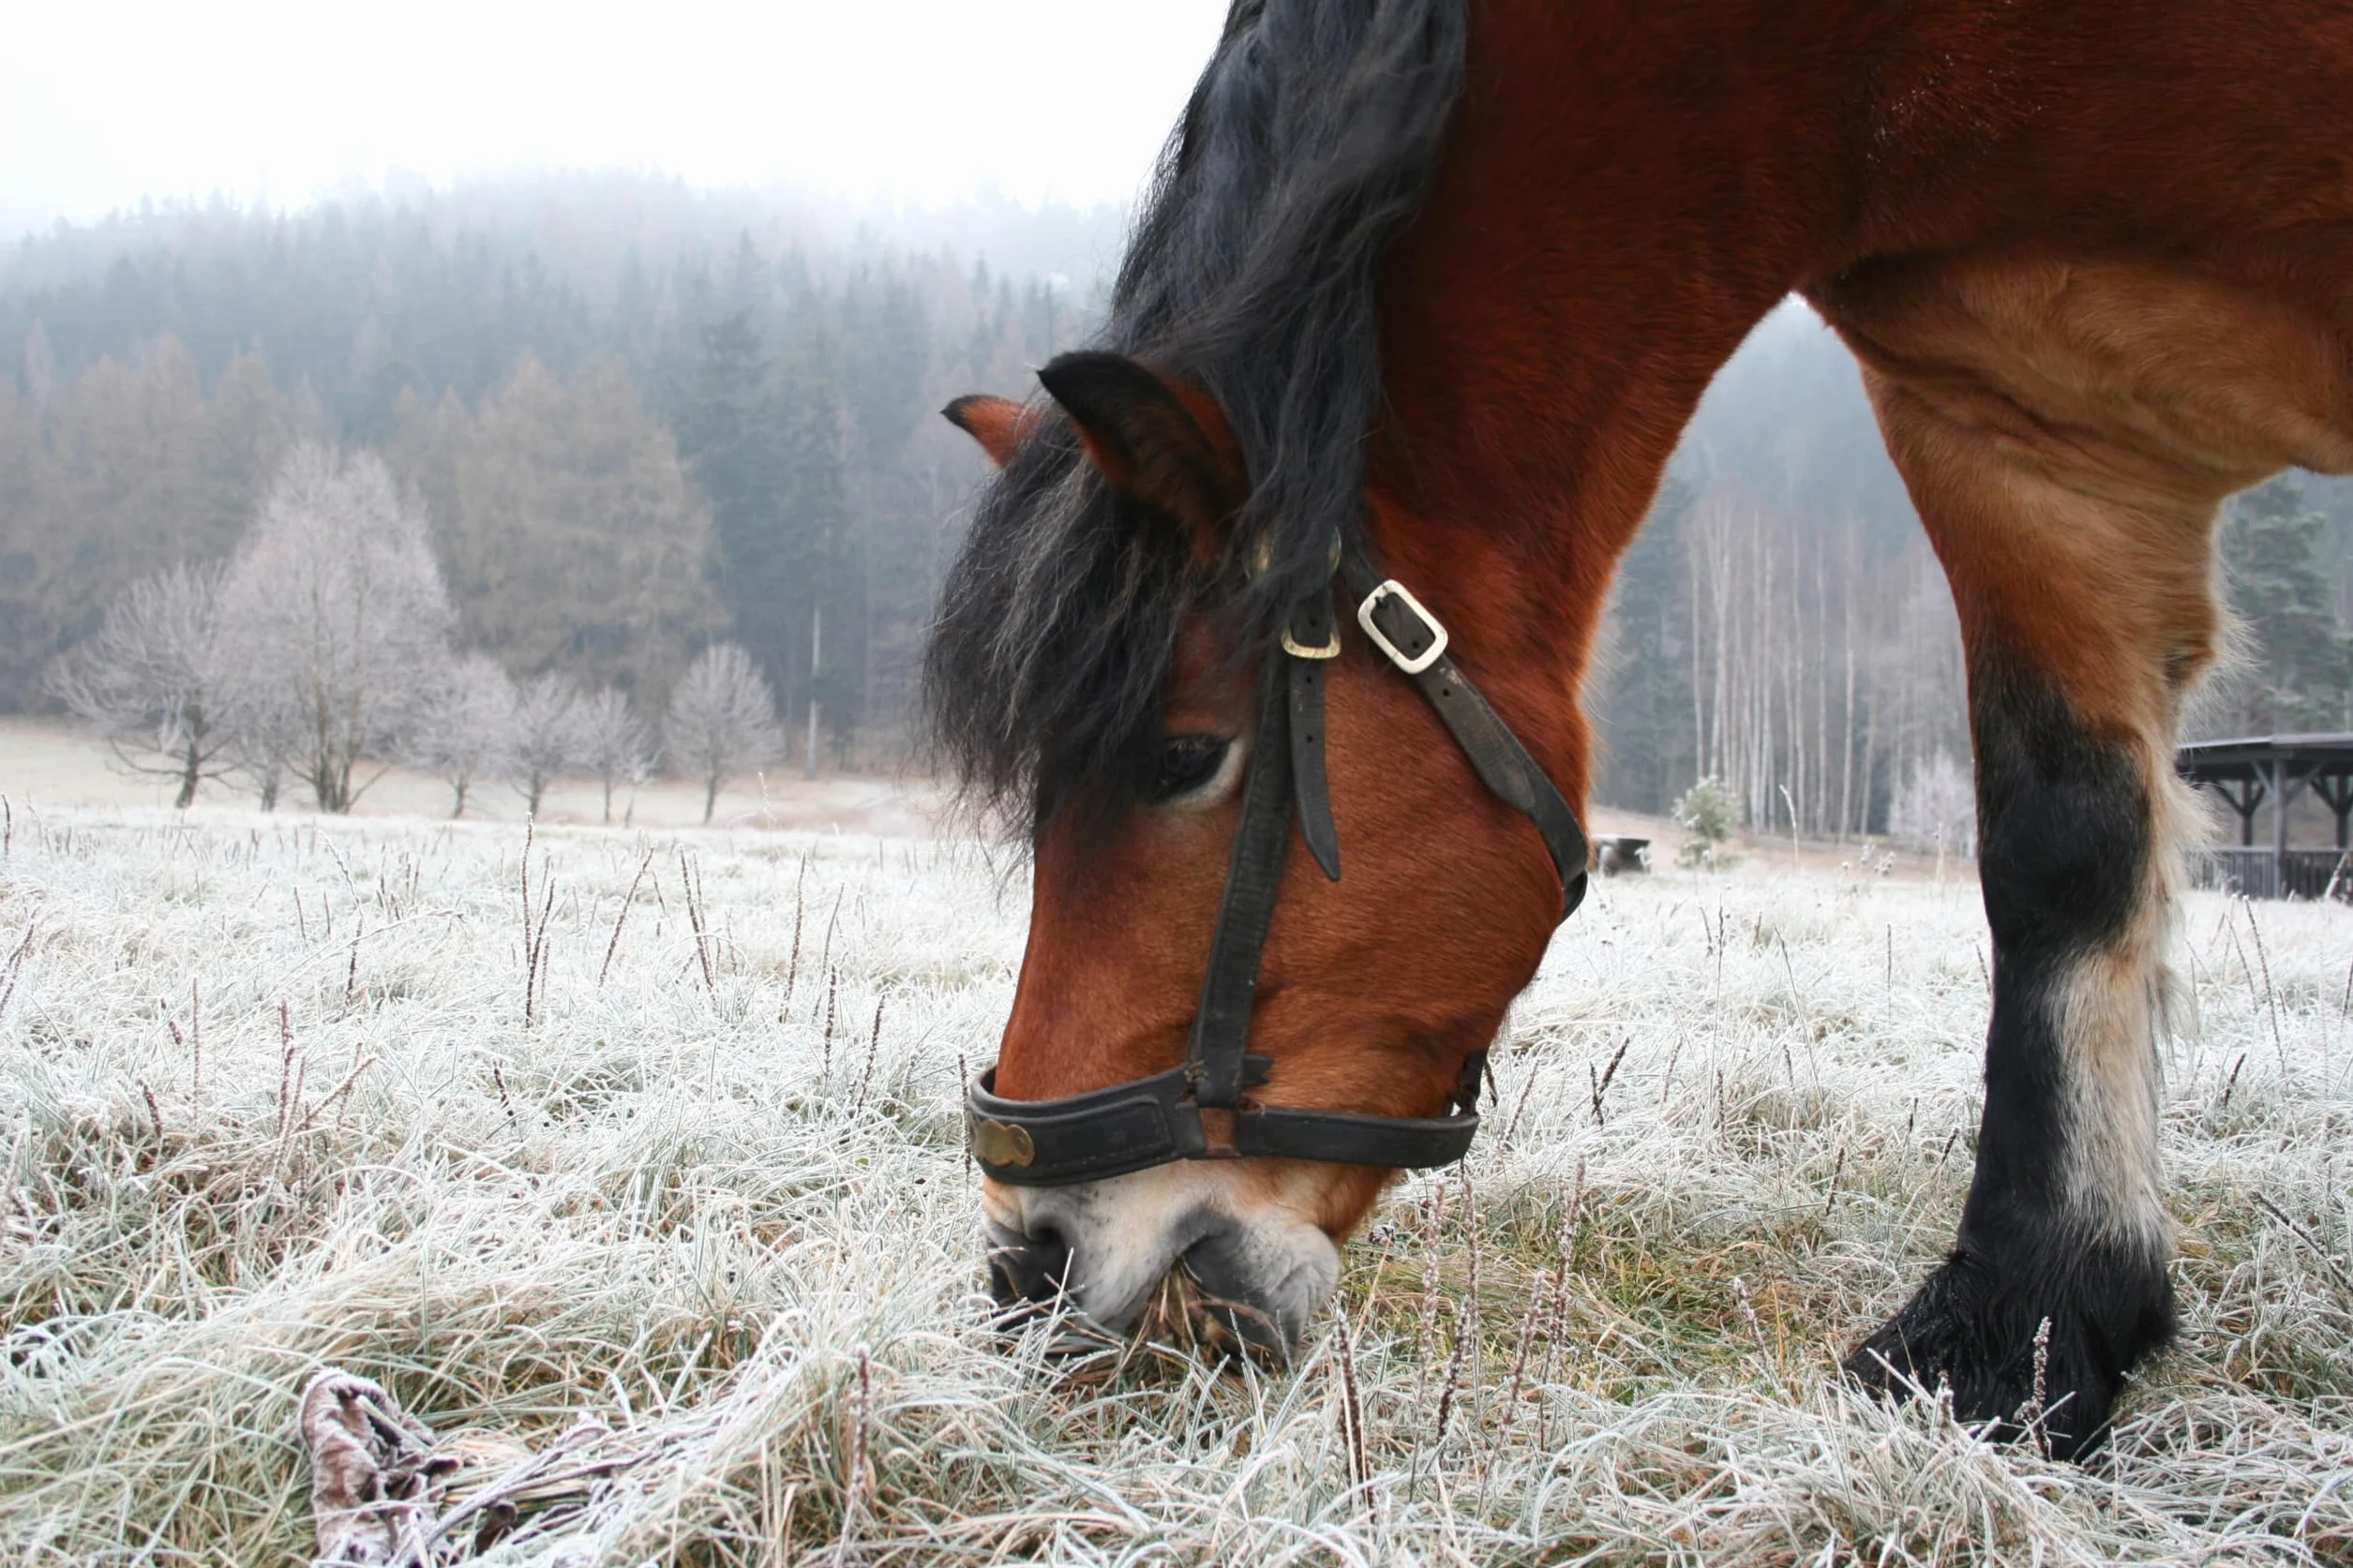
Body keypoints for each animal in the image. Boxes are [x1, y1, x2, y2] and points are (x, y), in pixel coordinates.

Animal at [924, 0, 2353, 1459]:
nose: (1030, 1258)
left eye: (1181, 757)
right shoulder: (2026, 441)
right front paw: (2035, 1319)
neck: (1881, 69)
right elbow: (2062, 848)